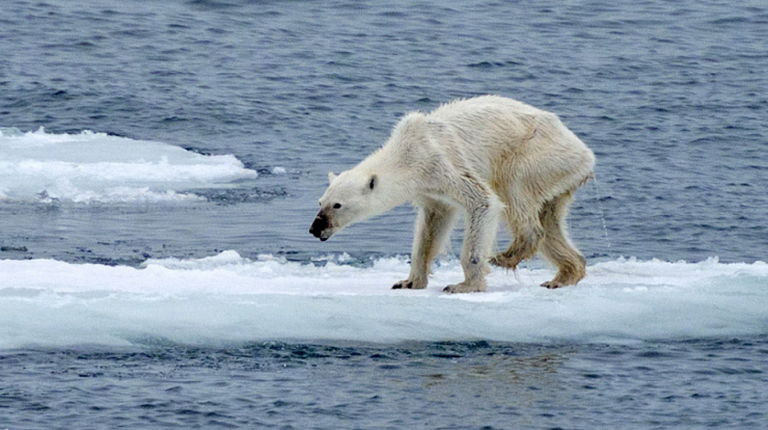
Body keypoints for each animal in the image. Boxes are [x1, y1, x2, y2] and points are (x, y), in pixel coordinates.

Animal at [310, 95, 595, 293]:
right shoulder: (429, 188)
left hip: (537, 154)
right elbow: (432, 225)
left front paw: (464, 285)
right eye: (320, 201)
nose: (315, 228)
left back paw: (507, 256)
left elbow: (483, 201)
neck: (406, 152)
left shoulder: (441, 162)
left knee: (514, 190)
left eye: (337, 205)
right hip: (559, 175)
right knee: (550, 220)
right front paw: (408, 281)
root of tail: (586, 153)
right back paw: (563, 276)